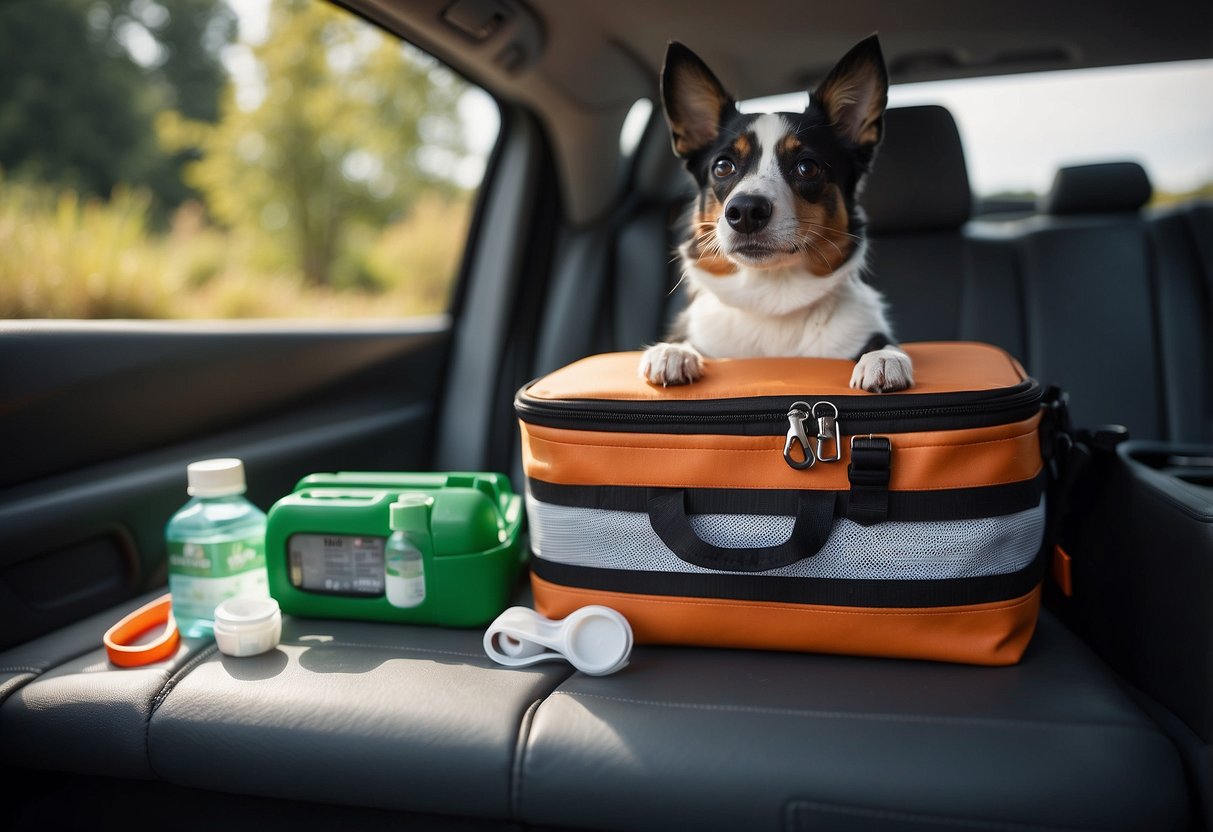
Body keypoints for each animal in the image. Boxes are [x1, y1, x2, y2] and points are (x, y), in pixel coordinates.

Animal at [645, 35, 912, 395]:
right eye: (722, 166)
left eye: (807, 167)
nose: (745, 210)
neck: (771, 297)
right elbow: (684, 343)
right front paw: (672, 351)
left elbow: (881, 343)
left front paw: (884, 357)